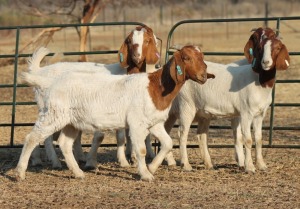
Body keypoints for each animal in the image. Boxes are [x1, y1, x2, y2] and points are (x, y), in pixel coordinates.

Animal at [15, 45, 213, 180]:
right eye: (186, 57)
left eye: (202, 56)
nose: (204, 76)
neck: (155, 87)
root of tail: (49, 82)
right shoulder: (136, 123)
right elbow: (141, 150)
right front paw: (145, 174)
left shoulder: (154, 122)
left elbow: (167, 143)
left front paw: (152, 167)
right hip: (54, 114)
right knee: (32, 137)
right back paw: (20, 172)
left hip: (70, 121)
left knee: (64, 143)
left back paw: (78, 173)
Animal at [30, 25, 161, 171]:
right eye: (129, 41)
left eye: (147, 41)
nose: (136, 57)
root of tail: (40, 72)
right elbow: (119, 137)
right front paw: (123, 161)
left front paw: (136, 156)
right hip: (51, 108)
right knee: (45, 135)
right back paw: (53, 161)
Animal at [163, 29, 290, 173]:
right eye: (260, 48)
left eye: (278, 48)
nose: (266, 62)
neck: (258, 80)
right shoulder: (245, 113)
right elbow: (247, 139)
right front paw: (249, 167)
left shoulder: (259, 114)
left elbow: (258, 139)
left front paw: (262, 165)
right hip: (186, 106)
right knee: (182, 134)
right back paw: (186, 165)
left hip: (191, 113)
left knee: (196, 135)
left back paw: (203, 164)